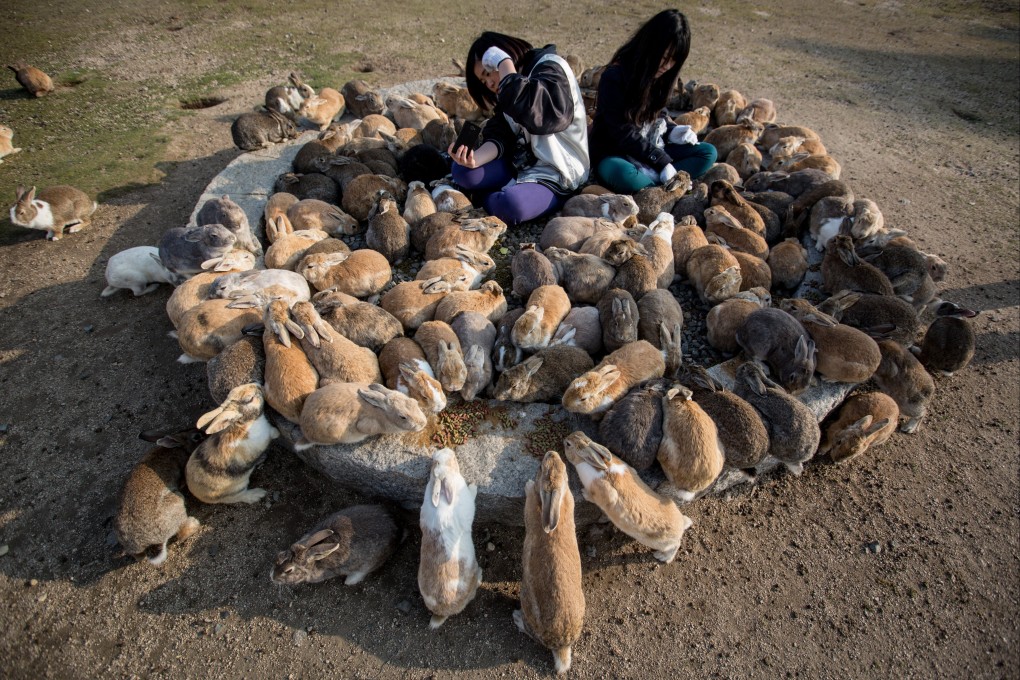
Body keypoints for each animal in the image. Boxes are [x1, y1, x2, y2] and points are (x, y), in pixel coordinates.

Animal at [114, 429, 204, 565]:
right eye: (197, 437)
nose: (205, 433)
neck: (178, 448)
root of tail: (148, 543)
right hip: (177, 501)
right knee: (181, 533)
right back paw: (194, 523)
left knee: (138, 557)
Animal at [271, 505, 402, 586]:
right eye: (279, 556)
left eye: (288, 570)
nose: (272, 577)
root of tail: (398, 529)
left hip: (369, 563)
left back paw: (350, 581)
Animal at [515, 451, 585, 676]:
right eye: (563, 466)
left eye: (539, 469)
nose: (551, 453)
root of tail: (561, 645)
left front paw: (528, 485)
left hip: (526, 601)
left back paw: (517, 619)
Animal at [564, 431, 693, 562]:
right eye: (579, 433)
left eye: (568, 444)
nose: (565, 439)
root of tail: (680, 527)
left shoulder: (605, 492)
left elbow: (601, 498)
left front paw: (584, 493)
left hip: (662, 544)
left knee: (675, 546)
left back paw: (661, 557)